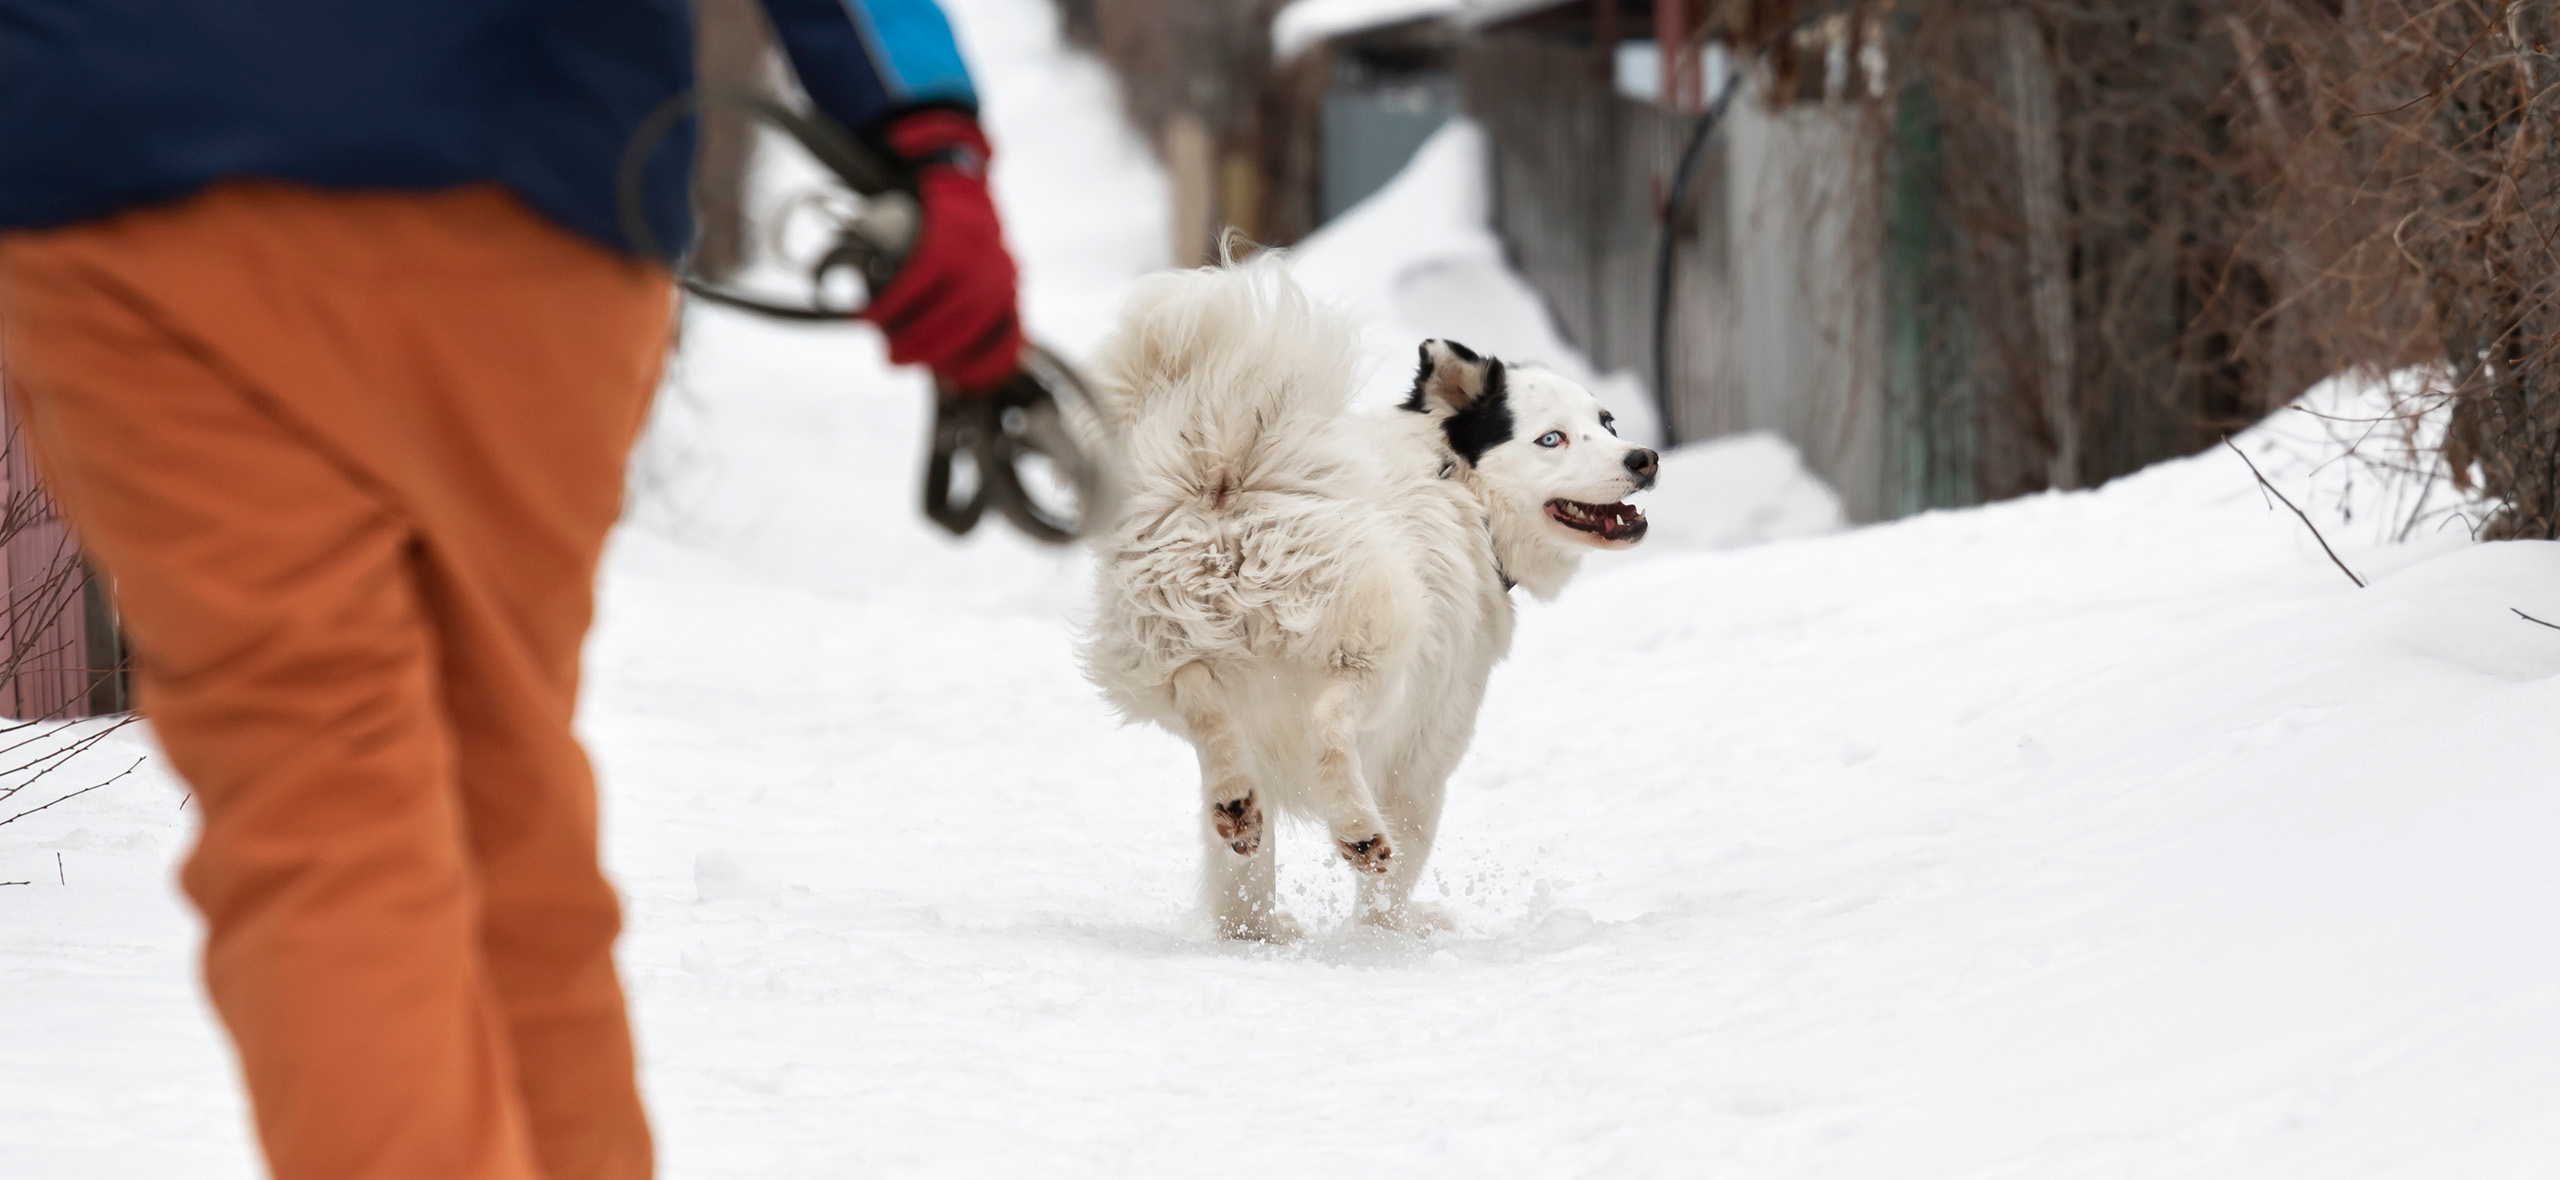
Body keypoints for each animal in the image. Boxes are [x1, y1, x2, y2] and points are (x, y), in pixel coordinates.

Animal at [1070, 259, 1648, 936]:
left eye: (1606, 424)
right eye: (1552, 440)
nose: (1645, 458)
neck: (1463, 490)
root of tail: (1228, 482)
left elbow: (1244, 875)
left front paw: (1252, 936)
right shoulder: (1425, 757)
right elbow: (1395, 876)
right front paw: (1390, 933)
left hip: (1164, 638)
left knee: (1200, 703)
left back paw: (1236, 806)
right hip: (1376, 648)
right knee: (1331, 730)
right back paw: (1356, 830)